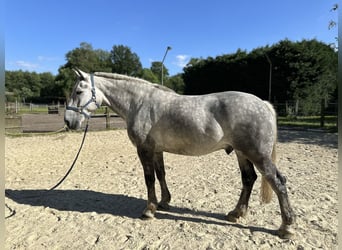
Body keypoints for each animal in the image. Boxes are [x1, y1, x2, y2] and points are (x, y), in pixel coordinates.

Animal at [65, 68, 296, 238]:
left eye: (78, 92)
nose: (68, 122)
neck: (139, 103)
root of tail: (264, 104)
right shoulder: (156, 150)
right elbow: (161, 174)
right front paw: (164, 202)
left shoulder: (144, 150)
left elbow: (149, 179)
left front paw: (149, 210)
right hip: (241, 153)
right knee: (249, 179)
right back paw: (236, 214)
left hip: (258, 155)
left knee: (278, 182)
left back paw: (286, 227)